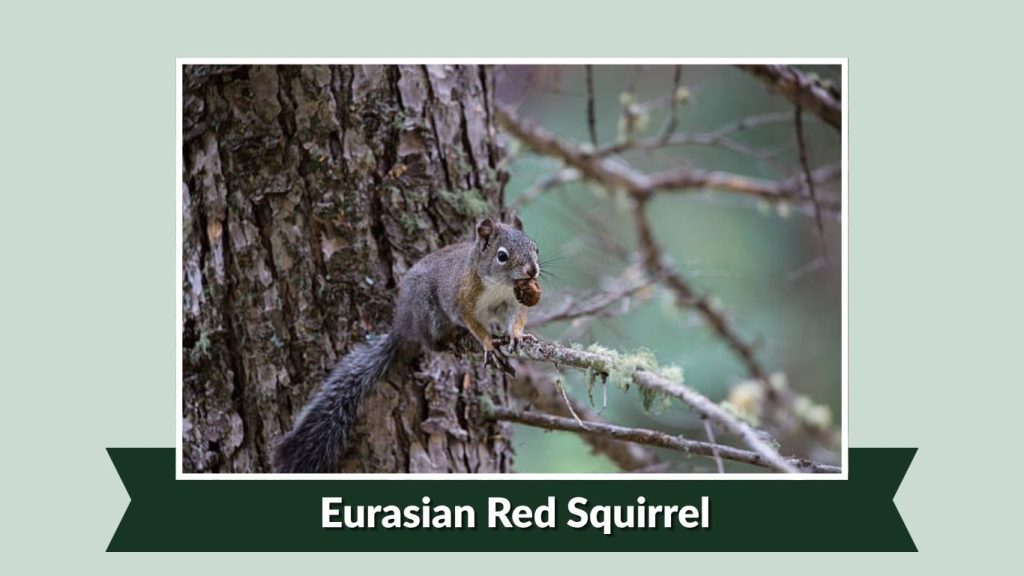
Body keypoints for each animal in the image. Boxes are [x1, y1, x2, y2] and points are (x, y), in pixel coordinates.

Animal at [272, 212, 540, 473]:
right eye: (502, 256)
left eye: (535, 247)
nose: (532, 270)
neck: (499, 287)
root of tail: (403, 325)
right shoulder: (464, 299)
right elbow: (473, 324)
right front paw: (488, 344)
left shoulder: (512, 301)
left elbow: (517, 318)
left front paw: (517, 336)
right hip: (428, 312)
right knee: (430, 342)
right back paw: (450, 339)